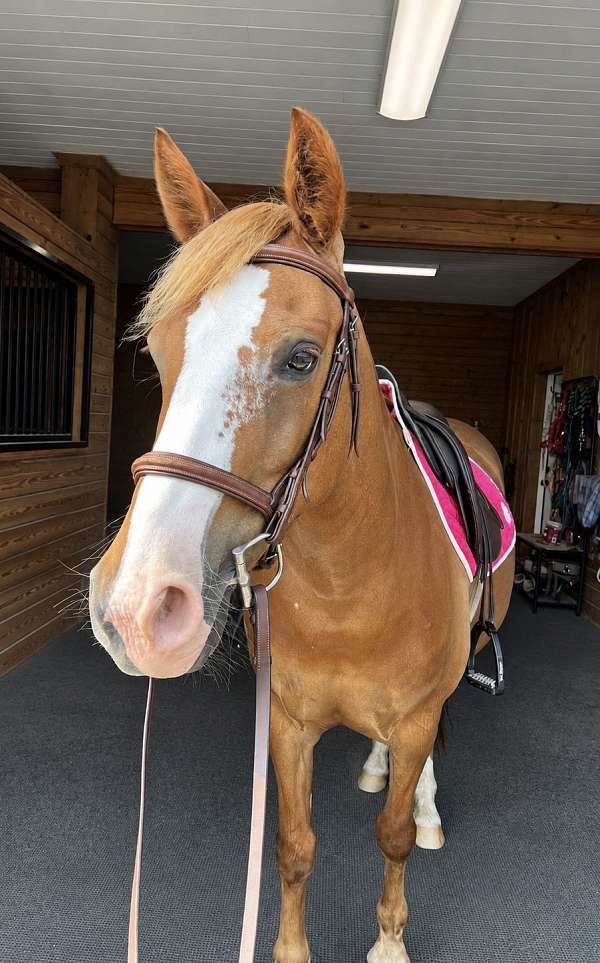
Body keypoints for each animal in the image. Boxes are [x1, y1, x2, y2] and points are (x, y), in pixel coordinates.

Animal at [89, 107, 515, 963]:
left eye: (301, 357)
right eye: (158, 352)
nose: (137, 608)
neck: (352, 578)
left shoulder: (416, 714)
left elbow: (392, 837)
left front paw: (388, 940)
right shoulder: (285, 724)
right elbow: (292, 846)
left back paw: (425, 805)